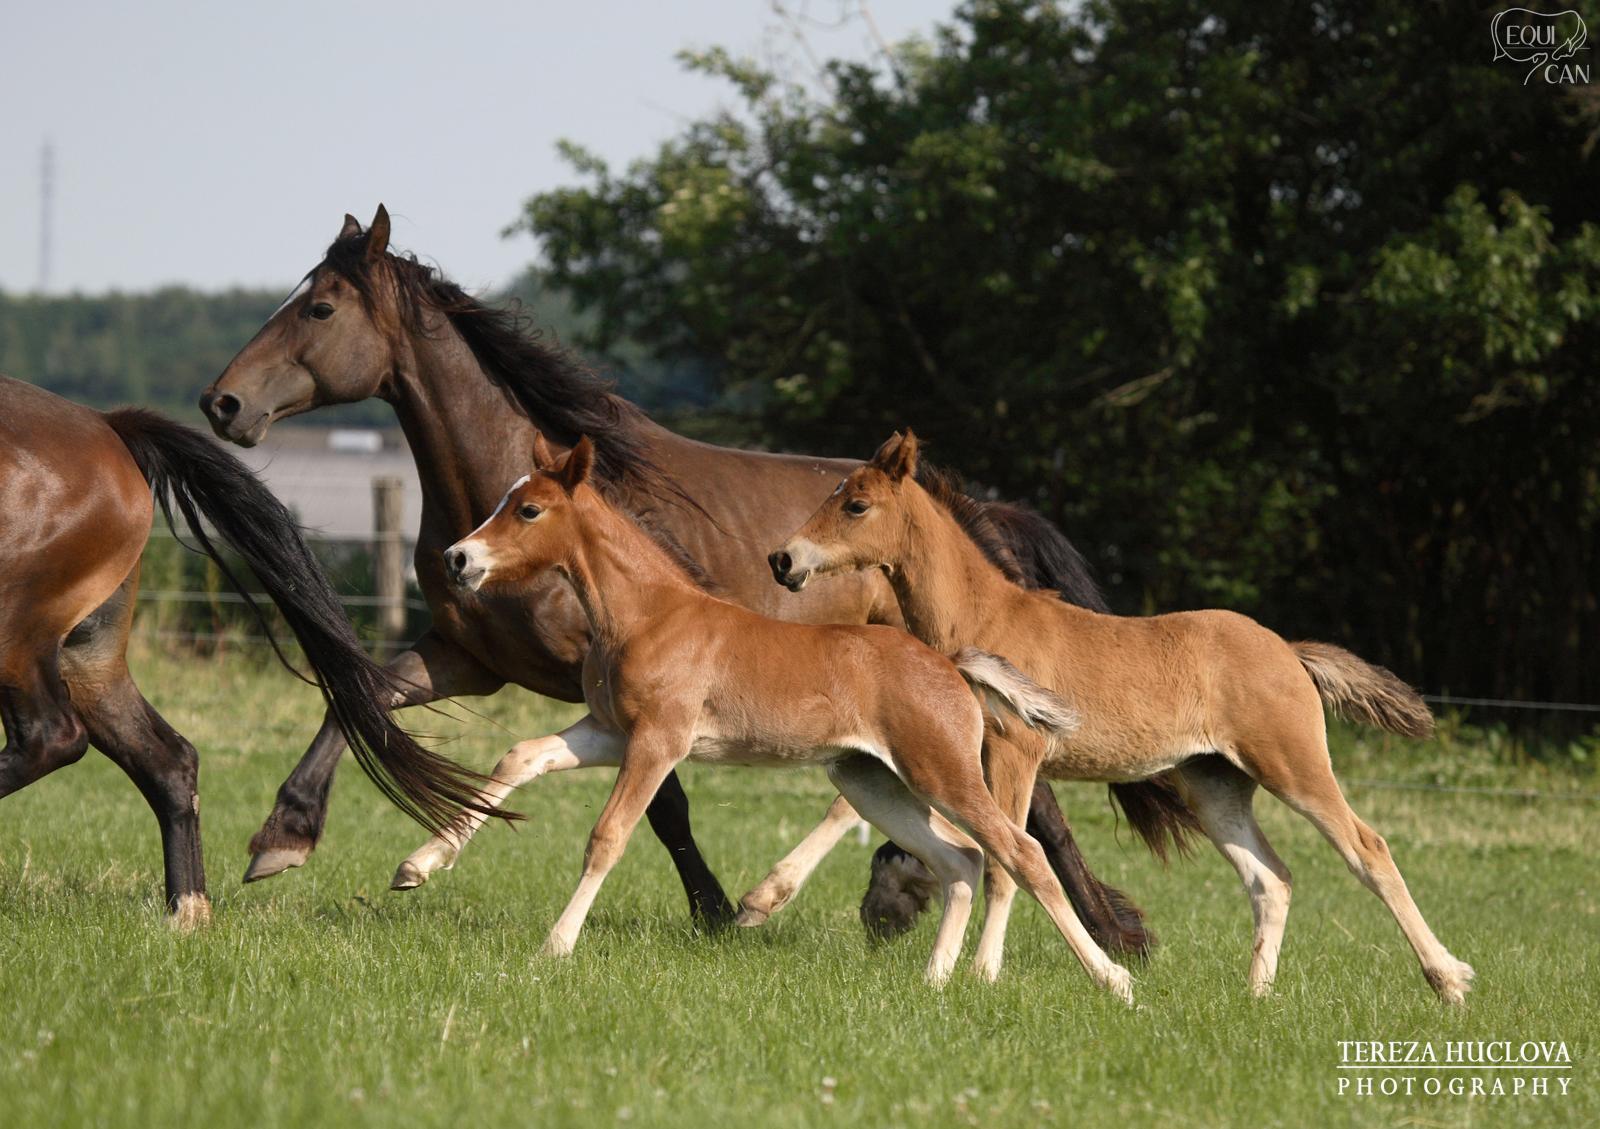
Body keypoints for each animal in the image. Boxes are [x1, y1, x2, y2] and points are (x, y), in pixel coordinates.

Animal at [0, 376, 496, 925]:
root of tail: (108, 425)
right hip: (86, 654)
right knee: (166, 758)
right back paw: (188, 913)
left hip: (20, 630)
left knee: (53, 738)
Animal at [388, 432, 1134, 1001]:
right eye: (504, 503)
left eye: (530, 509)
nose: (458, 557)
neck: (649, 612)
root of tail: (950, 664)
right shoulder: (608, 731)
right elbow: (520, 755)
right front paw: (418, 864)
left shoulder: (659, 739)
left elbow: (608, 835)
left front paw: (556, 945)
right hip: (871, 778)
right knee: (962, 857)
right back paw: (934, 978)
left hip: (940, 770)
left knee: (1019, 852)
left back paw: (1110, 979)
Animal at [766, 430, 1475, 1003]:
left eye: (856, 505)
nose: (784, 560)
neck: (986, 618)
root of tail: (1289, 650)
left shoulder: (1014, 753)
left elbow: (1005, 861)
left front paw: (982, 975)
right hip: (1214, 785)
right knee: (1269, 878)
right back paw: (1256, 995)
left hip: (1293, 766)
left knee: (1367, 849)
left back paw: (1448, 980)